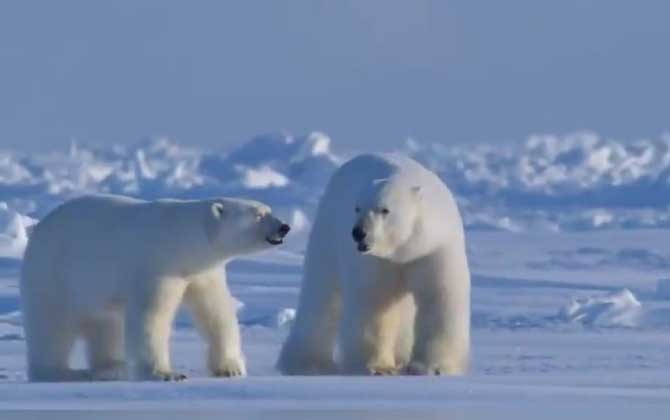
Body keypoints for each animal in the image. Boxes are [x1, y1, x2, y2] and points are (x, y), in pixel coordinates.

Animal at [20, 195, 288, 382]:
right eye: (259, 214)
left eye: (268, 209)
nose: (285, 226)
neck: (181, 237)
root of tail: (38, 228)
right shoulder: (156, 265)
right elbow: (151, 317)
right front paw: (167, 374)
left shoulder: (201, 271)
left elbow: (216, 312)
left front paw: (231, 368)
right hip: (53, 274)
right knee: (51, 326)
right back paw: (61, 372)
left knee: (106, 322)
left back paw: (113, 368)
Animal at [278, 153, 472, 376]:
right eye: (357, 208)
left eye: (384, 210)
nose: (358, 232)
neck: (404, 250)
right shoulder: (376, 261)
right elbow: (374, 300)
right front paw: (378, 368)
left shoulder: (434, 249)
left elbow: (439, 296)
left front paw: (431, 367)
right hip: (327, 231)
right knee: (321, 294)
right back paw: (306, 363)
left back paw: (401, 358)